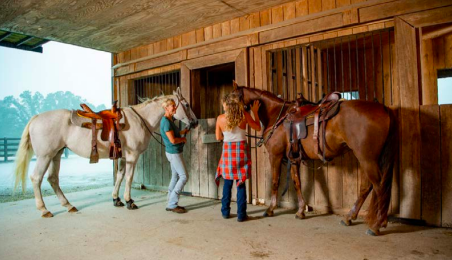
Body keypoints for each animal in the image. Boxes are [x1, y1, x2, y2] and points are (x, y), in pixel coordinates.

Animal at [13, 88, 197, 218]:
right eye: (187, 105)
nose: (195, 122)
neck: (140, 119)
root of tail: (36, 118)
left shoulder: (123, 156)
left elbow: (120, 176)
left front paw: (116, 199)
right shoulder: (132, 156)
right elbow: (128, 178)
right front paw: (129, 201)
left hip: (56, 155)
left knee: (52, 179)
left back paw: (69, 205)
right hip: (45, 156)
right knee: (36, 178)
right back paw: (44, 209)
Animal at [235, 86, 398, 236]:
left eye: (233, 97)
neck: (276, 115)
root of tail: (383, 108)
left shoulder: (275, 156)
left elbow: (275, 181)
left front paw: (270, 209)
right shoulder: (293, 159)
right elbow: (297, 182)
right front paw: (301, 211)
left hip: (367, 159)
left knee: (379, 187)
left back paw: (376, 225)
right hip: (366, 159)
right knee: (366, 187)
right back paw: (349, 218)